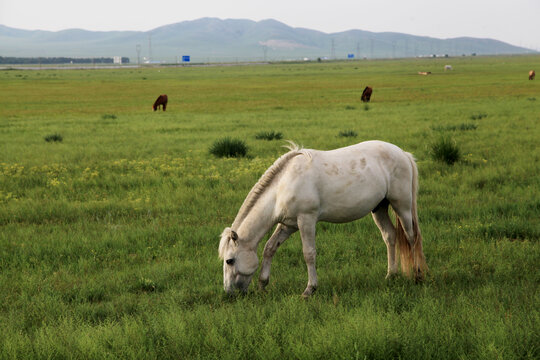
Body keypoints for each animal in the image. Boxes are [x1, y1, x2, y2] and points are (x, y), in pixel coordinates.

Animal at [218, 139, 426, 296]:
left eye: (230, 260)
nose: (228, 293)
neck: (283, 185)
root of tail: (403, 154)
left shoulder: (306, 220)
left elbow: (309, 253)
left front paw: (310, 289)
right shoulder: (289, 225)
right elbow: (270, 248)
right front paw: (263, 284)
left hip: (402, 205)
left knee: (411, 237)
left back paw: (417, 276)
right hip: (379, 208)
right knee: (390, 236)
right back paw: (391, 275)